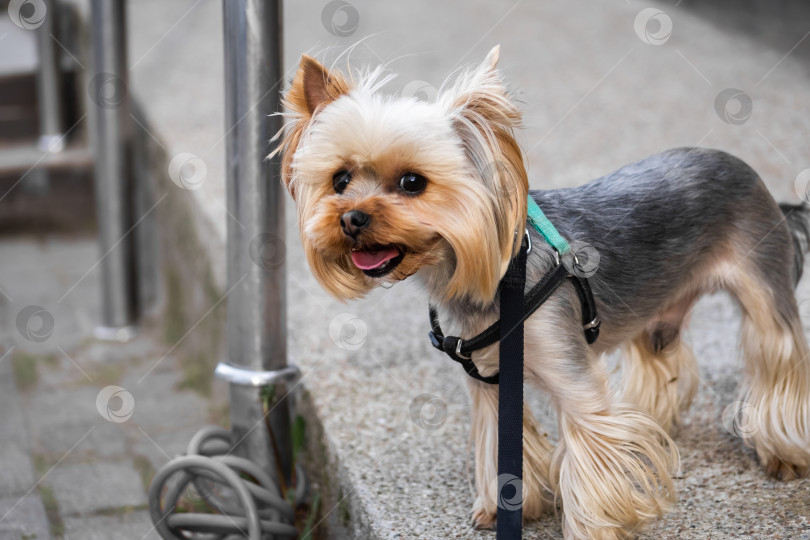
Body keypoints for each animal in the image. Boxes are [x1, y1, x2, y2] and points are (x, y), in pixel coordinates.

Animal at [274, 46, 808, 540]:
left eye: (412, 182)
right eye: (340, 179)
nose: (350, 218)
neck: (484, 277)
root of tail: (747, 172)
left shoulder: (573, 379)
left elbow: (593, 451)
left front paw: (592, 528)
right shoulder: (489, 381)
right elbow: (502, 441)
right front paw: (505, 508)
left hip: (763, 283)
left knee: (778, 353)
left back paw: (783, 452)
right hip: (659, 308)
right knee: (660, 351)